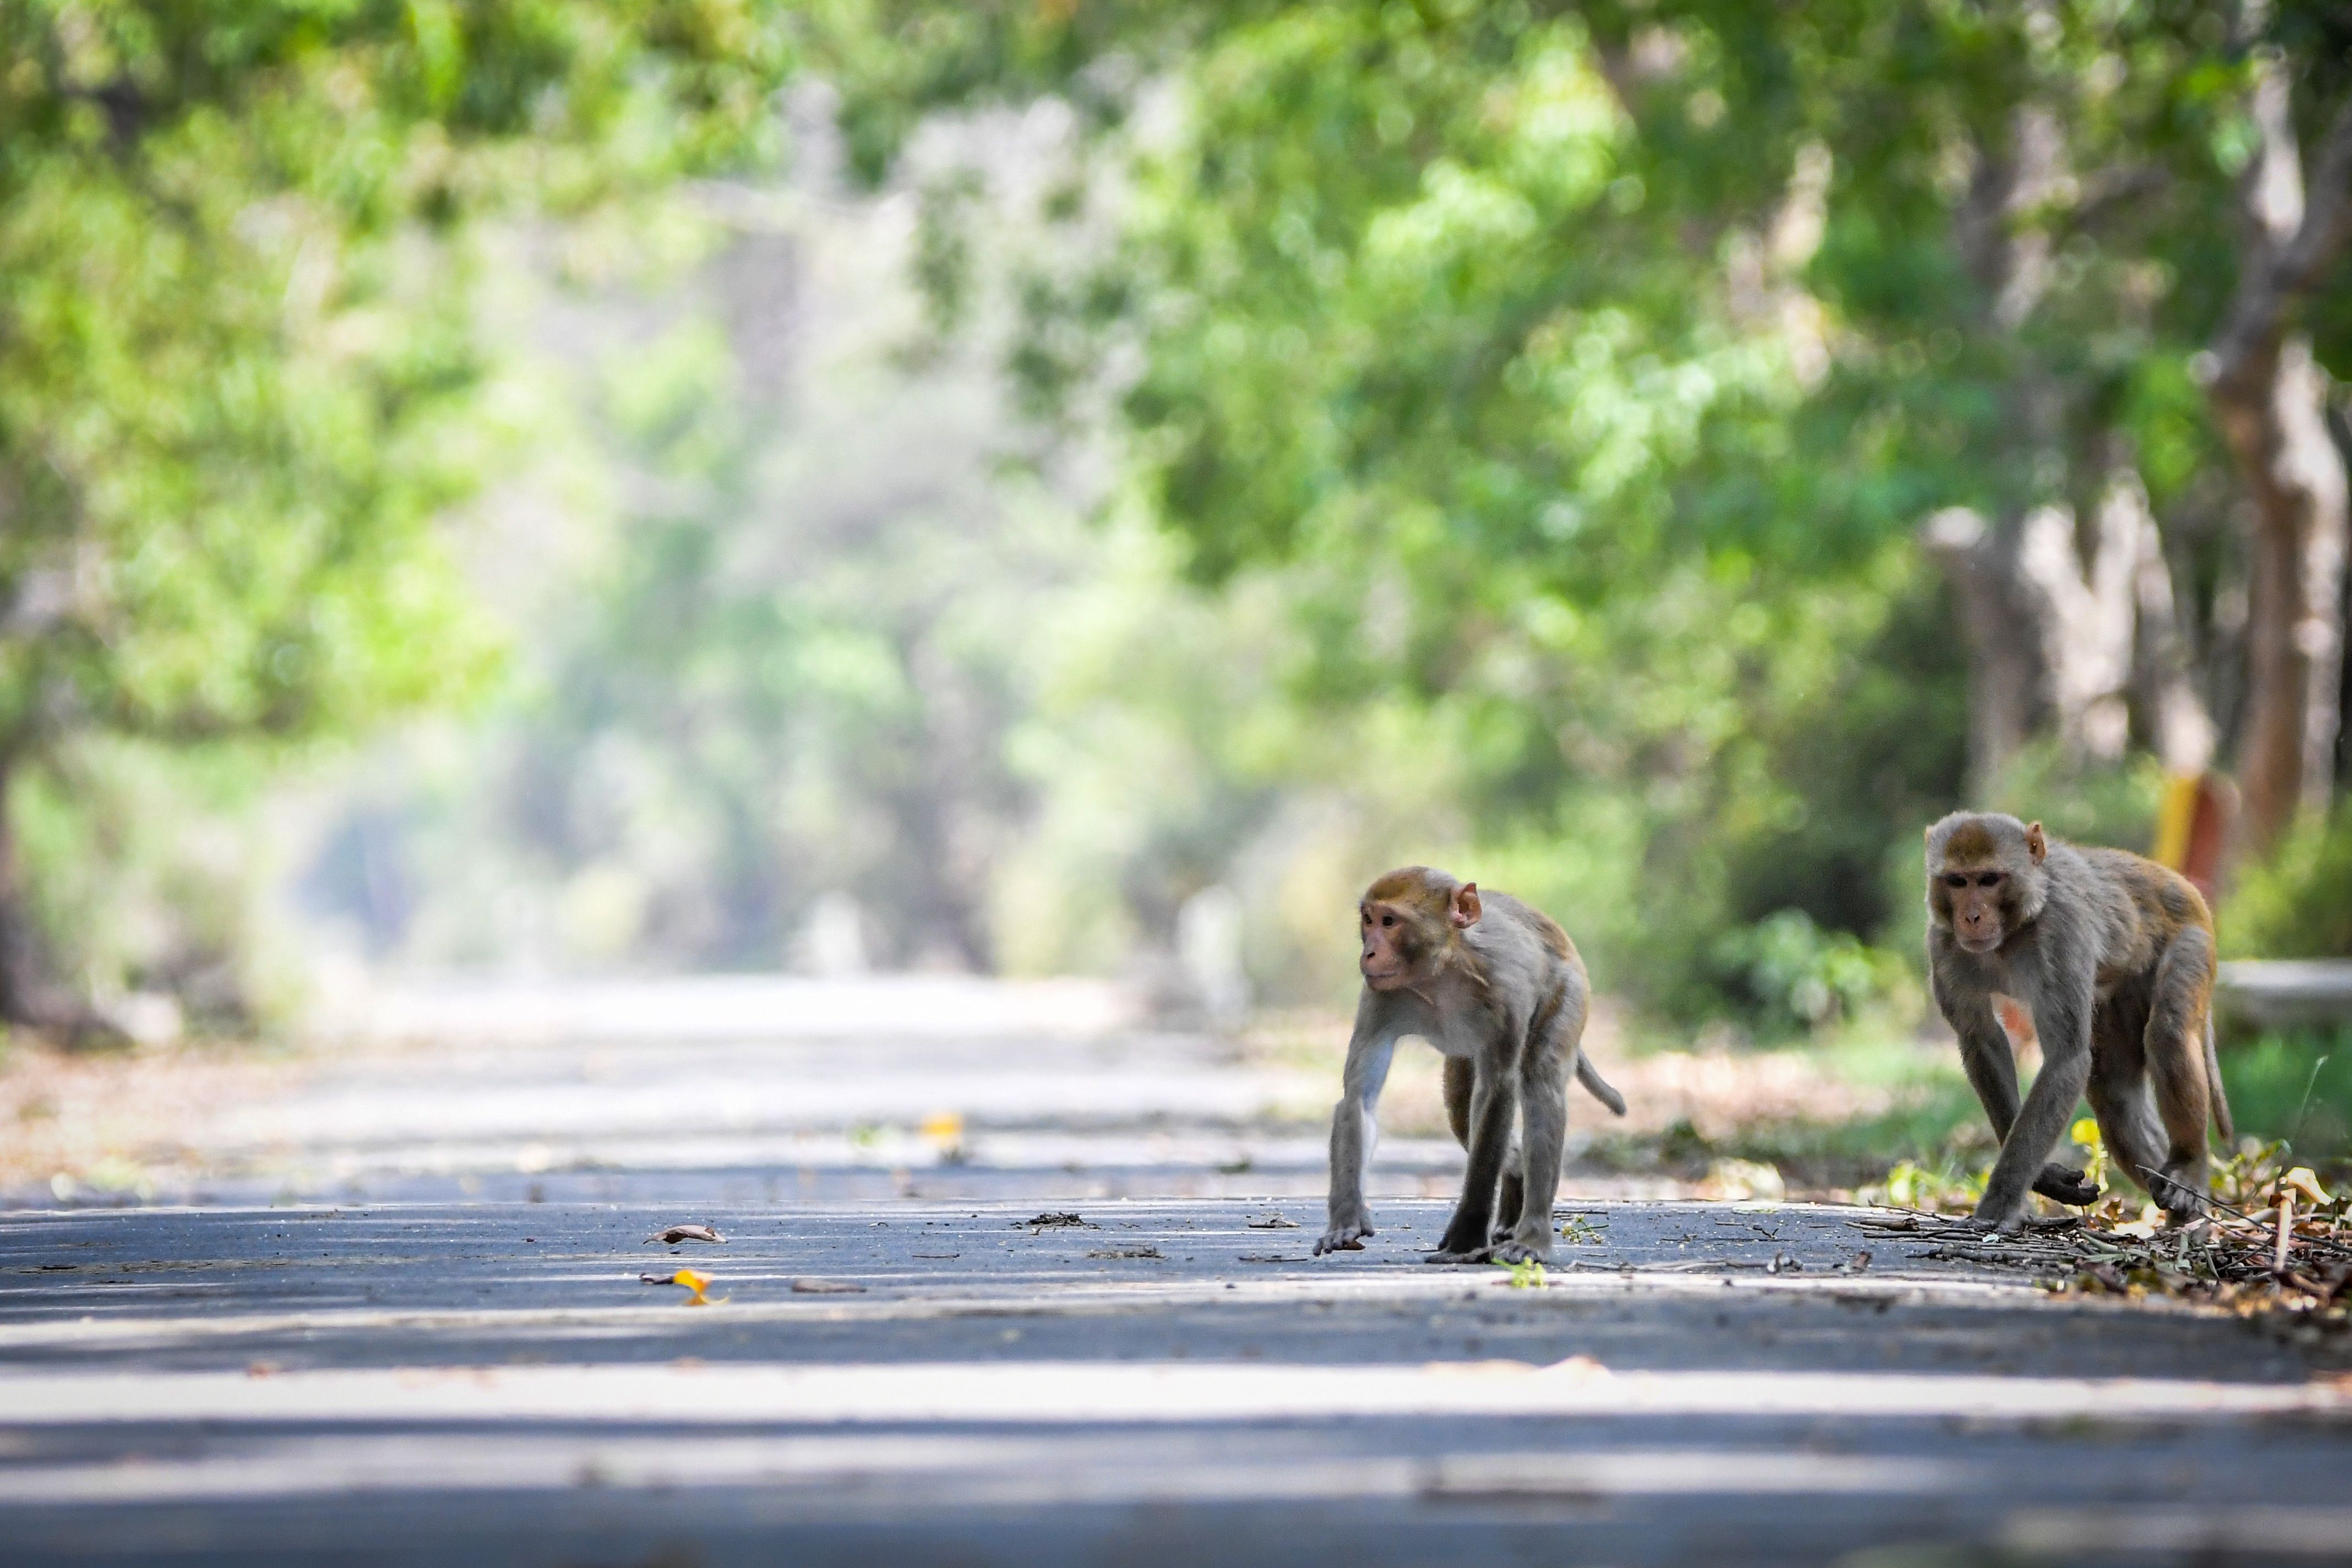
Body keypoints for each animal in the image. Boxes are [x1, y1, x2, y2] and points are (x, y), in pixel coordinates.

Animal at [1314, 867, 1626, 1264]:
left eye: (1389, 921)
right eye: (1368, 920)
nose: (1368, 952)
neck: (1442, 972)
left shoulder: (1505, 991)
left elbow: (1499, 1090)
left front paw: (1465, 1238)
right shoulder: (1379, 995)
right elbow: (1359, 1099)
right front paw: (1347, 1219)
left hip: (1570, 990)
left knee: (1539, 1083)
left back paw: (1532, 1237)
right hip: (1462, 1058)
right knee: (1463, 1112)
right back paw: (1514, 1185)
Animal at [1923, 812, 2234, 1232]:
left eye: (1989, 880)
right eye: (1958, 881)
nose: (1971, 917)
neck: (2013, 931)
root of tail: (2189, 892)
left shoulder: (2062, 931)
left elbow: (2066, 1057)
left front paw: (2001, 1201)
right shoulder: (1944, 944)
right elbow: (1983, 1040)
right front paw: (2046, 1177)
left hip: (2192, 940)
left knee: (2169, 1031)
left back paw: (2190, 1169)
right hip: (2119, 995)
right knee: (2114, 1095)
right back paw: (2181, 1211)